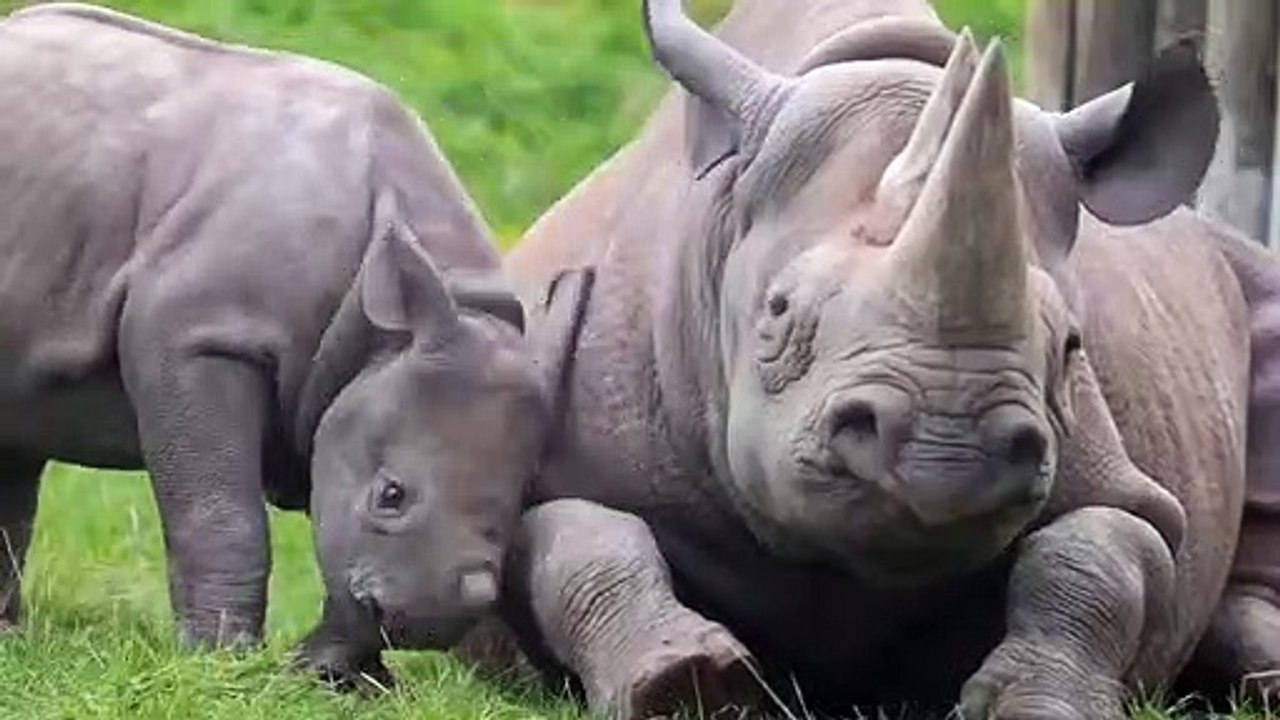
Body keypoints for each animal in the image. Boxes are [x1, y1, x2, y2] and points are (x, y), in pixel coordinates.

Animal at [0, 3, 557, 684]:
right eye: (391, 496)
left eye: (525, 503)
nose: (436, 618)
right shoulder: (203, 335)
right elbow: (222, 511)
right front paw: (222, 664)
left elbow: (339, 550)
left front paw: (334, 682)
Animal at [476, 0, 1280, 717]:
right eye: (778, 313)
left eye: (1071, 345)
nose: (945, 449)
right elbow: (583, 539)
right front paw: (687, 686)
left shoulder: (1121, 484)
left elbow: (1096, 555)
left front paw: (1039, 705)